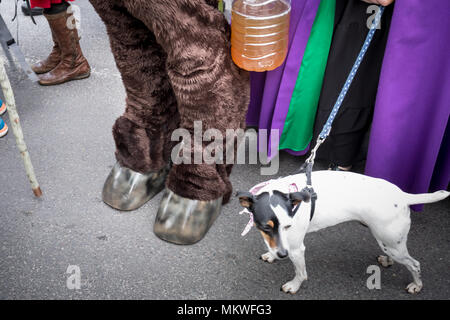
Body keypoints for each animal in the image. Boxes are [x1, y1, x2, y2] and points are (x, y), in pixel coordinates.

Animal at [237, 171, 448, 294]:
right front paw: (272, 255)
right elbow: (273, 246)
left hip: (391, 242)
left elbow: (301, 273)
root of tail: (402, 195)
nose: (282, 255)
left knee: (414, 264)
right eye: (265, 227)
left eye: (288, 226)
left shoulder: (296, 248)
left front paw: (294, 286)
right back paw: (387, 261)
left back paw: (417, 285)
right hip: (389, 242)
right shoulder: (280, 242)